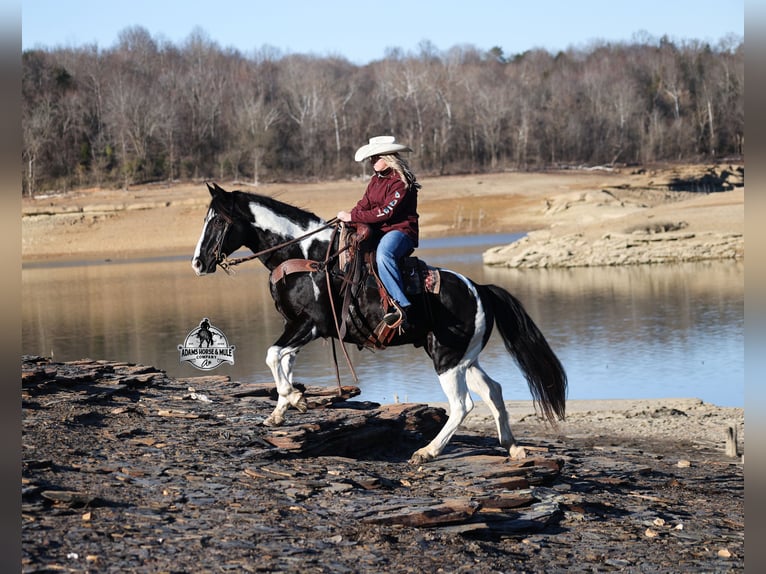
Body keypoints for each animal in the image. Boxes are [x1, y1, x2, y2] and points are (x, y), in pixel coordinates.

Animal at [191, 182, 567, 464]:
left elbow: (272, 355)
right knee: (493, 390)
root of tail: (480, 289)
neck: (306, 256)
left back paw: (427, 451)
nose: (197, 263)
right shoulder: (297, 327)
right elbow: (283, 360)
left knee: (463, 405)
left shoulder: (309, 325)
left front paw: (294, 399)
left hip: (446, 359)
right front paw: (284, 409)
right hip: (464, 359)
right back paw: (512, 446)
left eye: (217, 220)